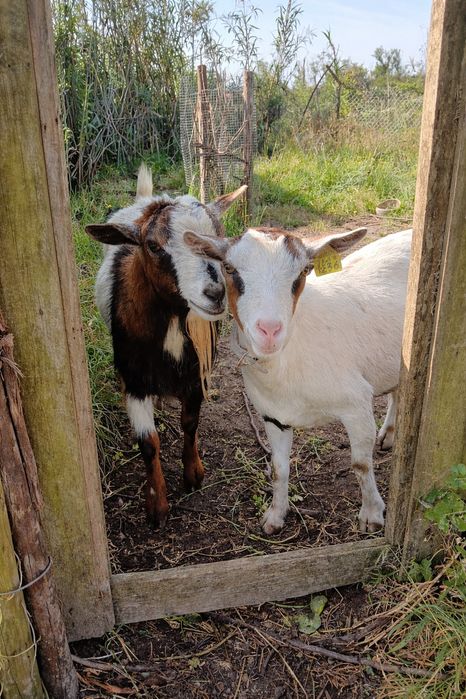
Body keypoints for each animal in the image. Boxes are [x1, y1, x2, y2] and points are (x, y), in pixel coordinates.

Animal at [86, 165, 245, 528]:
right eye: (153, 246)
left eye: (221, 238)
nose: (215, 293)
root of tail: (146, 199)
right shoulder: (134, 380)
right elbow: (149, 442)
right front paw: (156, 504)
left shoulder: (195, 374)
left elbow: (190, 422)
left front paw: (194, 474)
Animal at [184, 225, 412, 534]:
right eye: (229, 268)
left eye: (304, 271)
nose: (269, 330)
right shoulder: (272, 415)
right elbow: (279, 469)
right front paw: (274, 517)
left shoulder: (356, 404)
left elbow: (361, 464)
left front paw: (372, 516)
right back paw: (388, 434)